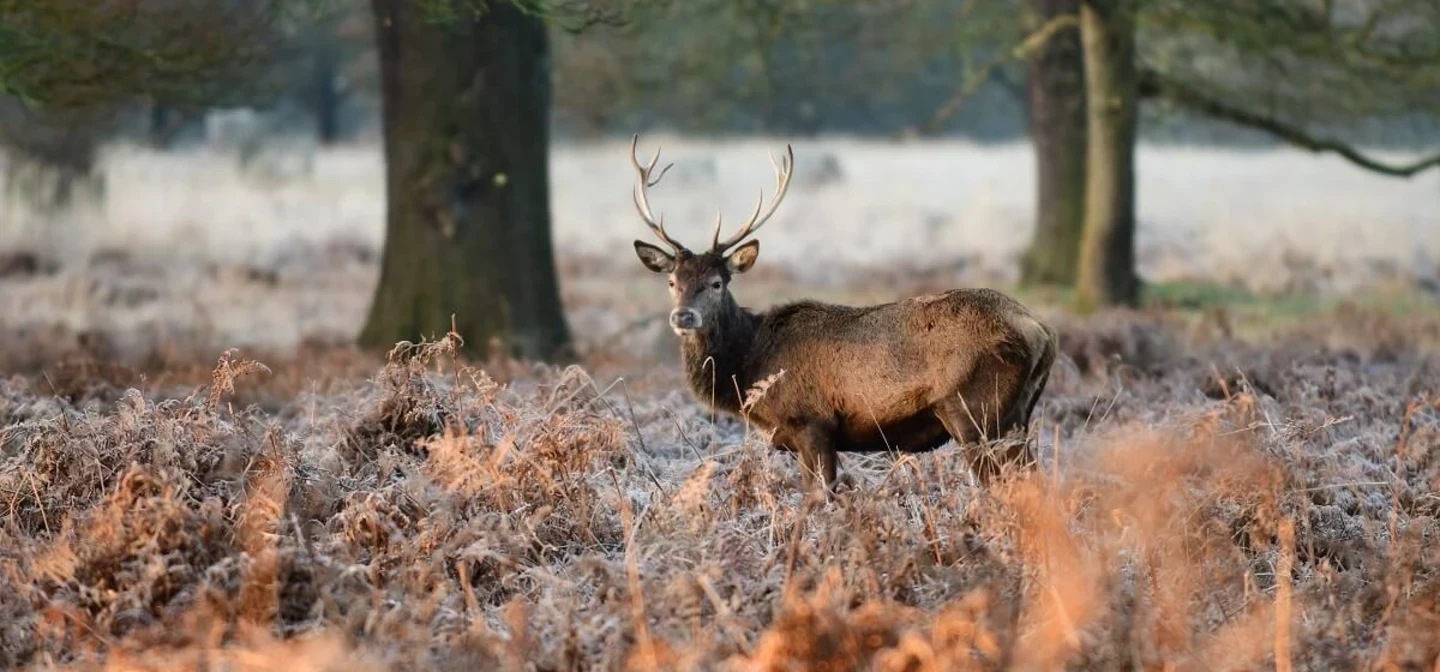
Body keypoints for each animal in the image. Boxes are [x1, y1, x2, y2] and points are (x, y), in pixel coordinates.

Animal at [626, 134, 1059, 497]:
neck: (749, 365)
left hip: (976, 411)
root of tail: (1041, 331)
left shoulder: (812, 422)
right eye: (672, 281)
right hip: (1016, 414)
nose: (683, 317)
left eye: (717, 282)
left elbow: (820, 496)